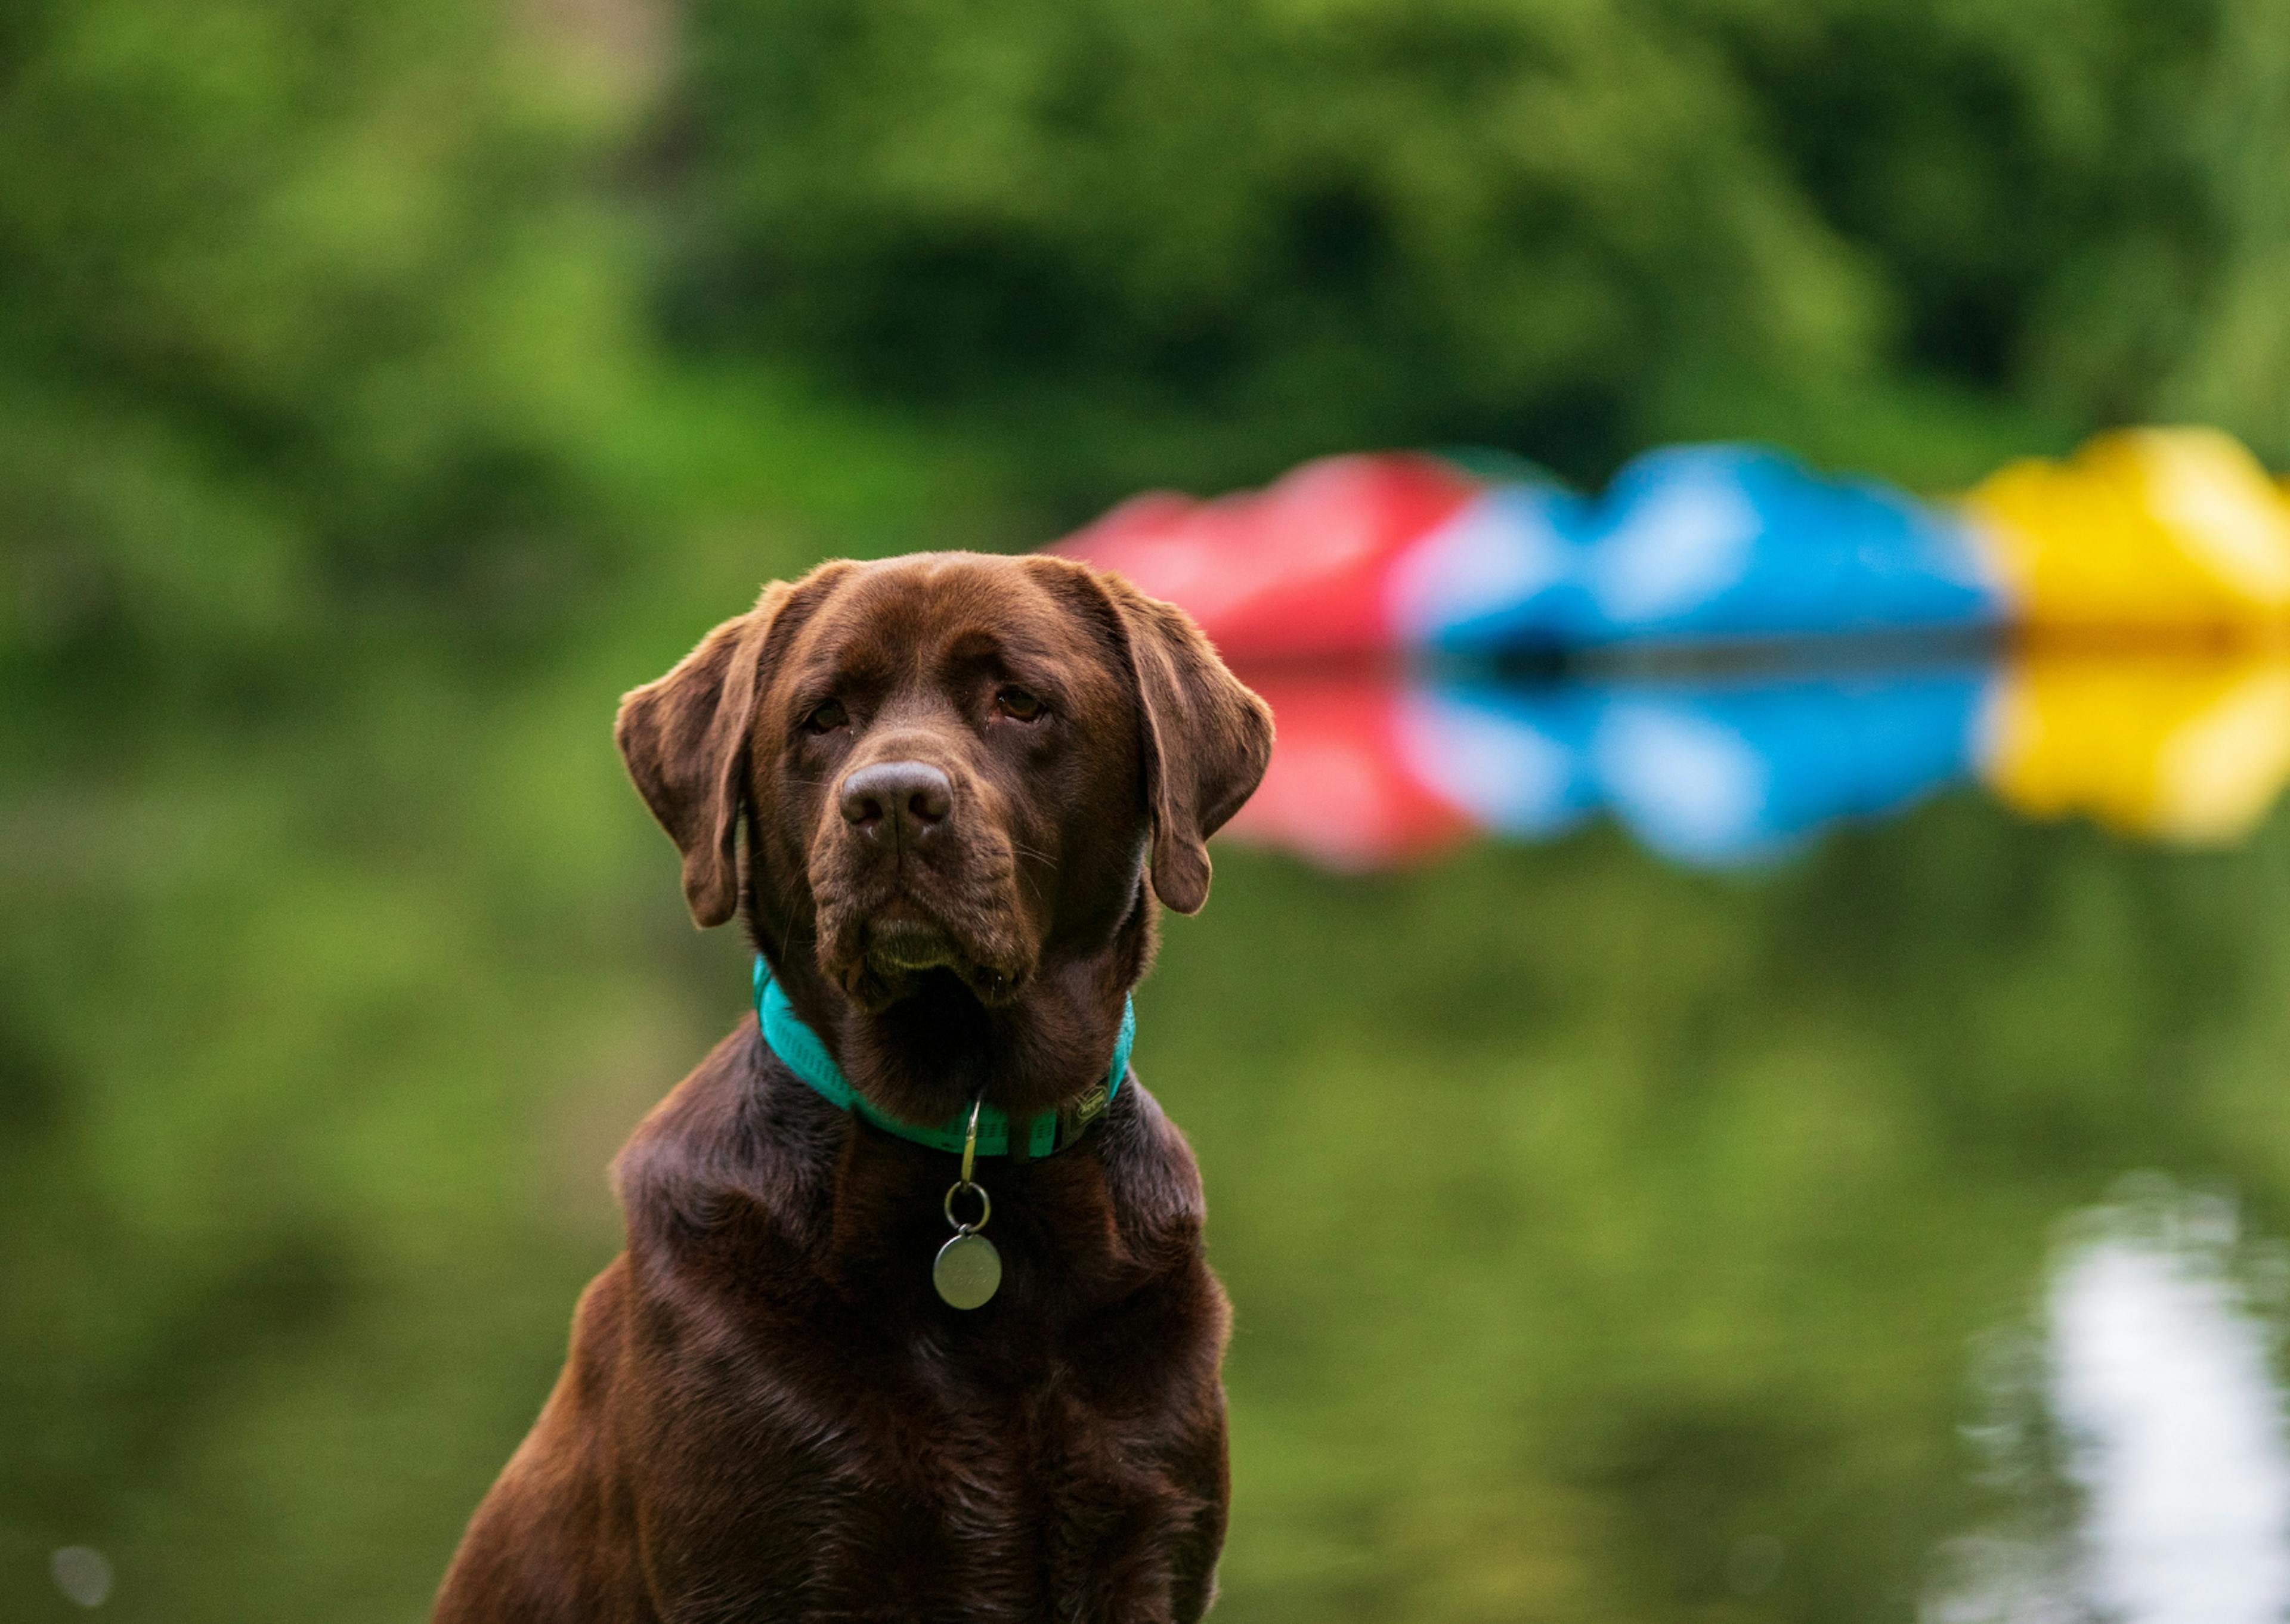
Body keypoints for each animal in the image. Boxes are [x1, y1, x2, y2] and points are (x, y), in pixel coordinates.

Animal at [437, 551, 1282, 1612]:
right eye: (823, 716)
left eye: (1019, 701)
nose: (890, 802)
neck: (967, 1127)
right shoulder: (768, 1563)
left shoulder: (1148, 1544)